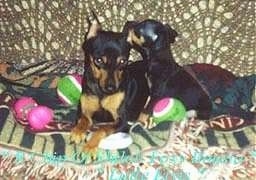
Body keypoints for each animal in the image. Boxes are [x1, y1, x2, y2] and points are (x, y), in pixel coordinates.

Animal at [70, 14, 149, 158]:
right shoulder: (82, 112)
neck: (102, 93)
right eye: (99, 60)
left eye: (123, 61)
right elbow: (84, 120)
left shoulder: (121, 122)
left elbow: (102, 129)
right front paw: (78, 132)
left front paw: (90, 147)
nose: (111, 88)